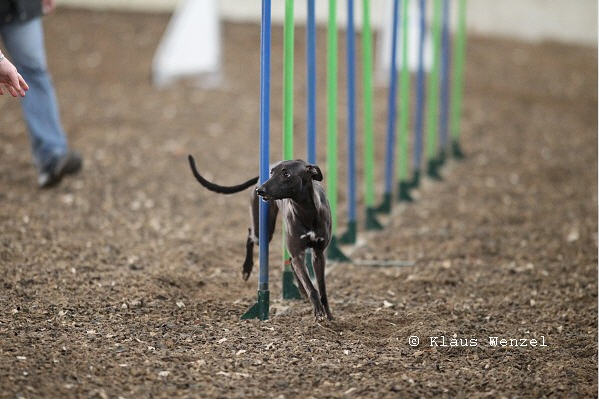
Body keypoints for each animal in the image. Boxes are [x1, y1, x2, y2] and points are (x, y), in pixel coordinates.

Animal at [188, 155, 333, 320]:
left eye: (286, 174)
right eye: (272, 172)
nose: (260, 190)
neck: (306, 211)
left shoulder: (318, 254)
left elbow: (321, 287)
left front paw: (327, 313)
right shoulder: (298, 253)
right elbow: (311, 286)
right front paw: (318, 310)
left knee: (290, 262)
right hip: (263, 232)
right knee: (250, 234)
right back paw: (246, 269)